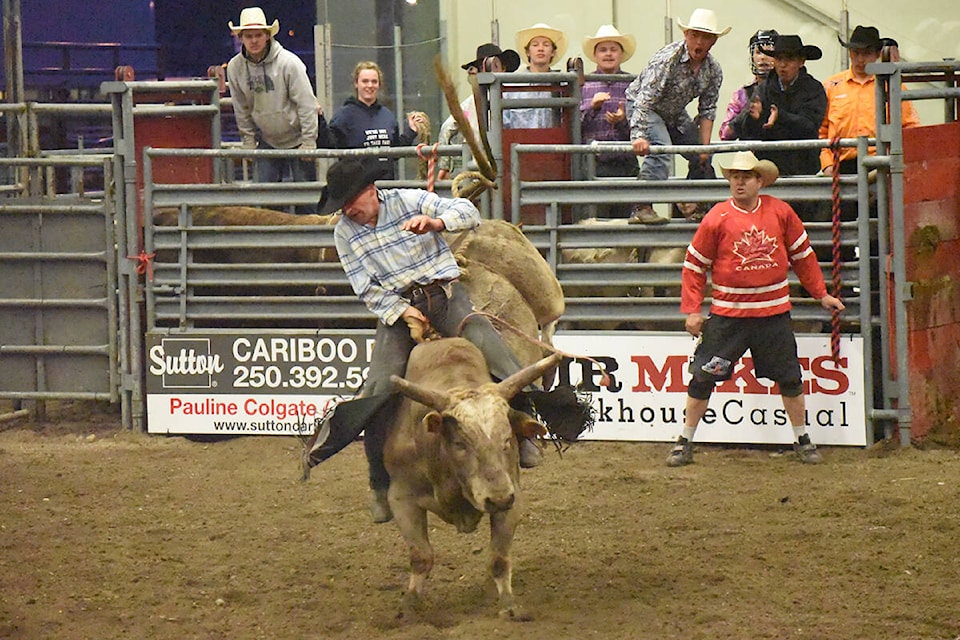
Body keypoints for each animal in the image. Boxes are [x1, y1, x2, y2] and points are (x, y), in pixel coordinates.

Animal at [384, 338, 560, 616]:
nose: (497, 500)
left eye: (507, 439)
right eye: (460, 443)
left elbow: (498, 557)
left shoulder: (512, 494)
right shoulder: (401, 497)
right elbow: (421, 556)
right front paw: (409, 607)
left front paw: (508, 604)